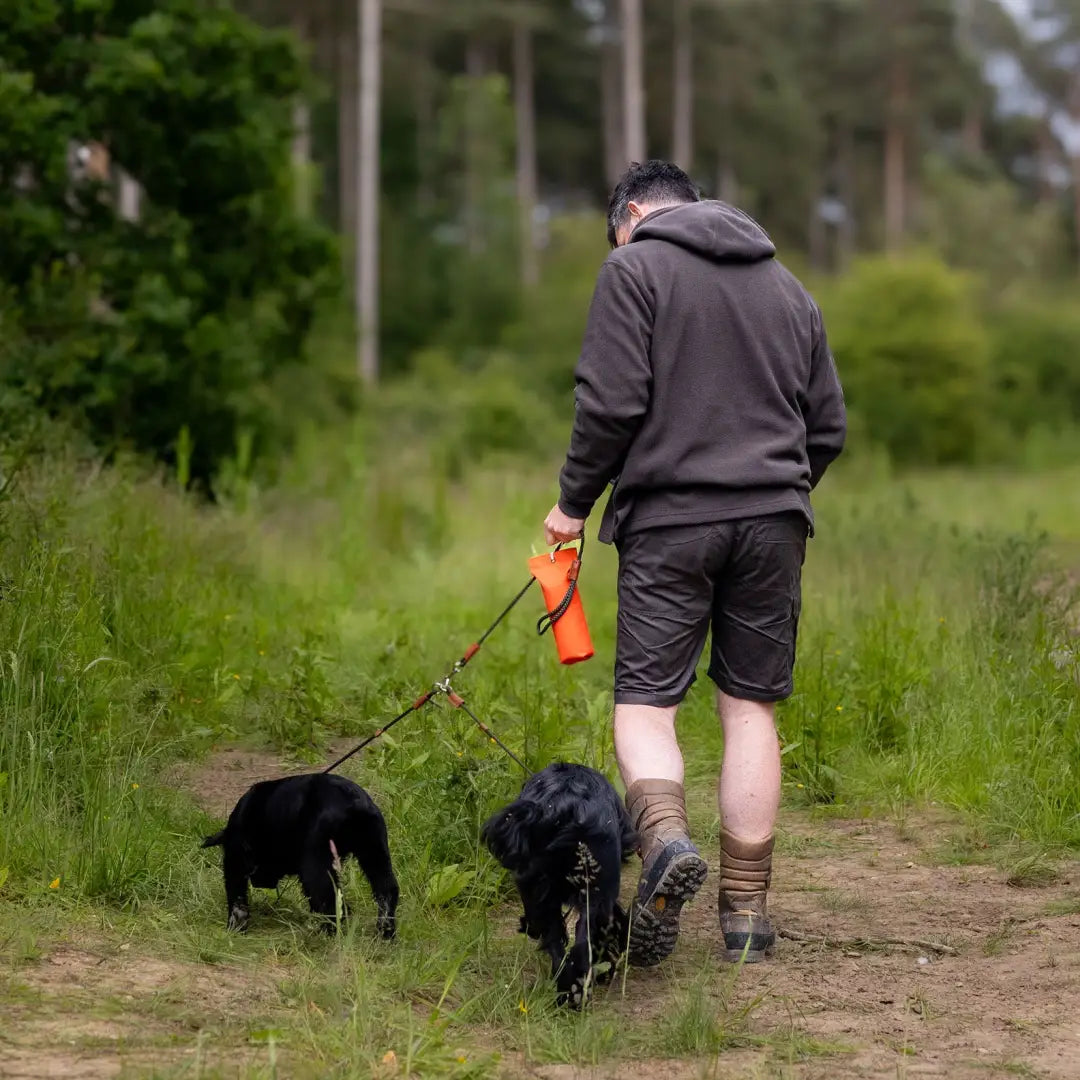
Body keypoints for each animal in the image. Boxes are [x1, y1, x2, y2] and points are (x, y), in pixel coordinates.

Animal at [200, 777, 399, 937]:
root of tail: (353, 804)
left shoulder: (236, 858)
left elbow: (236, 898)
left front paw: (234, 928)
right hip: (375, 853)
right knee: (386, 891)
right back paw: (385, 934)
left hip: (317, 865)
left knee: (330, 900)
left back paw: (327, 934)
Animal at [479, 764, 635, 1006]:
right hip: (588, 897)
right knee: (578, 944)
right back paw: (576, 991)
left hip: (539, 889)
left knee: (557, 941)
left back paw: (568, 990)